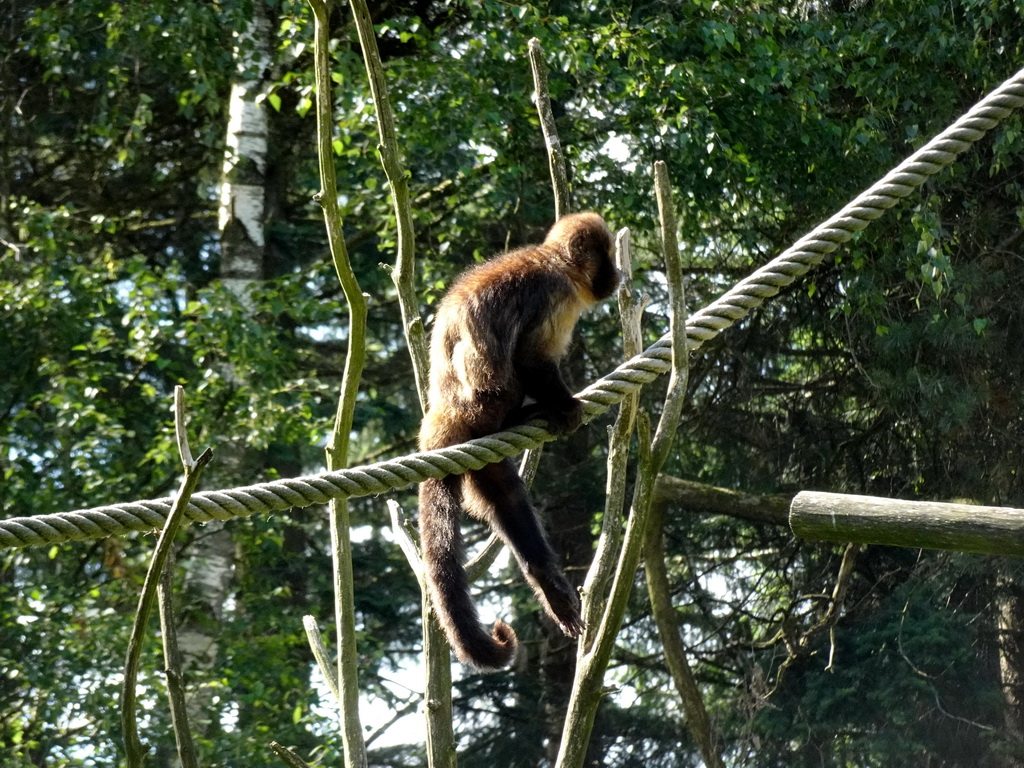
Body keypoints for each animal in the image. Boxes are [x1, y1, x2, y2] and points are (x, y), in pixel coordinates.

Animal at [417, 210, 622, 667]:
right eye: (608, 259)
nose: (618, 275)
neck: (556, 263)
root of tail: (442, 413)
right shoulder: (555, 292)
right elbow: (531, 358)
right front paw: (565, 407)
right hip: (482, 405)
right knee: (502, 370)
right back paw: (525, 414)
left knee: (507, 497)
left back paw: (547, 583)